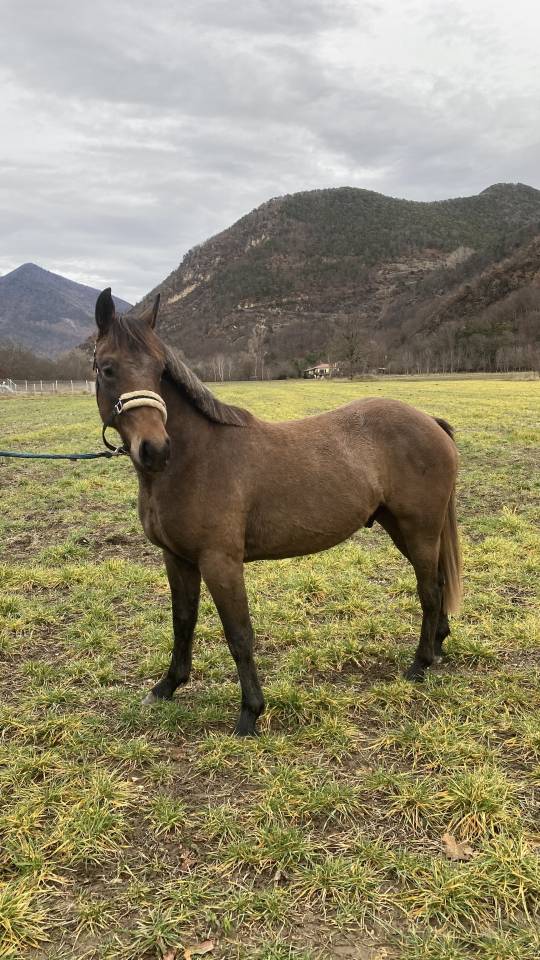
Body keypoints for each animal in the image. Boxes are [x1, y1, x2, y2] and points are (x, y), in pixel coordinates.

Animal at [93, 288, 462, 736]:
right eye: (108, 368)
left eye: (159, 367)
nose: (155, 449)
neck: (194, 458)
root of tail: (430, 421)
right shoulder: (177, 559)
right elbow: (183, 622)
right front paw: (167, 686)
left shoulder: (220, 562)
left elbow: (239, 635)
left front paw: (250, 714)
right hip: (405, 530)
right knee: (437, 585)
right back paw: (438, 648)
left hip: (419, 529)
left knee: (429, 590)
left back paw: (419, 664)